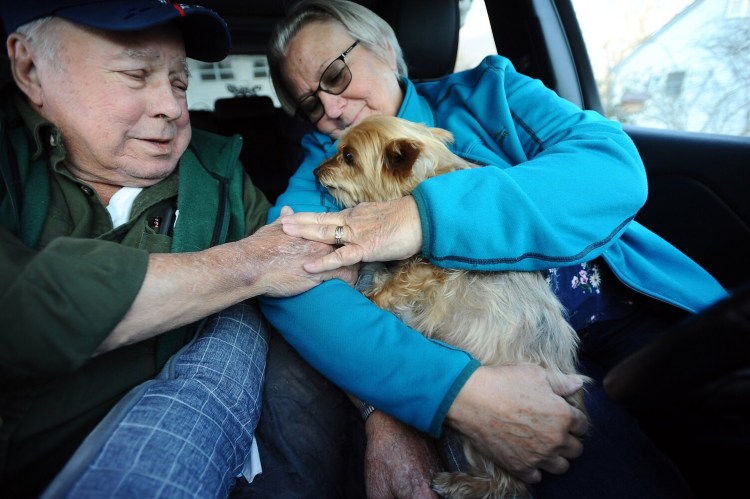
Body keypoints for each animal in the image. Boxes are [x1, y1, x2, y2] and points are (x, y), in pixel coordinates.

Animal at [314, 116, 592, 499]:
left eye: (349, 156)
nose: (315, 171)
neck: (425, 178)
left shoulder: (428, 267)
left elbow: (397, 283)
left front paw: (372, 298)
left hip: (488, 440)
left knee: (506, 485)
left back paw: (460, 484)